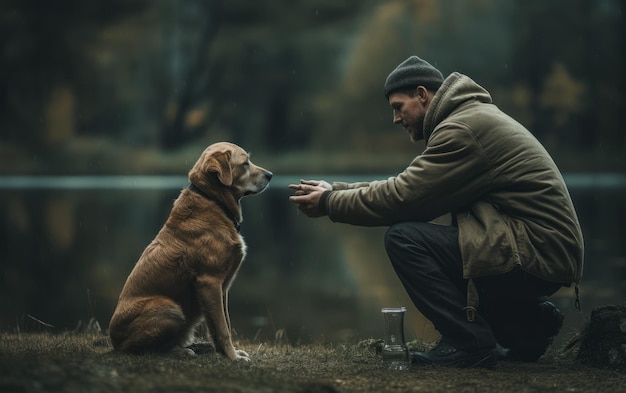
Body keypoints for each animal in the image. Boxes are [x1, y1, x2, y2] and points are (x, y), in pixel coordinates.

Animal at [106, 142, 270, 360]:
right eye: (245, 163)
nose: (270, 175)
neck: (214, 201)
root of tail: (114, 341)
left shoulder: (223, 287)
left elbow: (223, 323)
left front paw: (228, 353)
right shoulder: (209, 282)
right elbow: (222, 328)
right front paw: (233, 357)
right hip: (170, 310)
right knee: (141, 348)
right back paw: (180, 352)